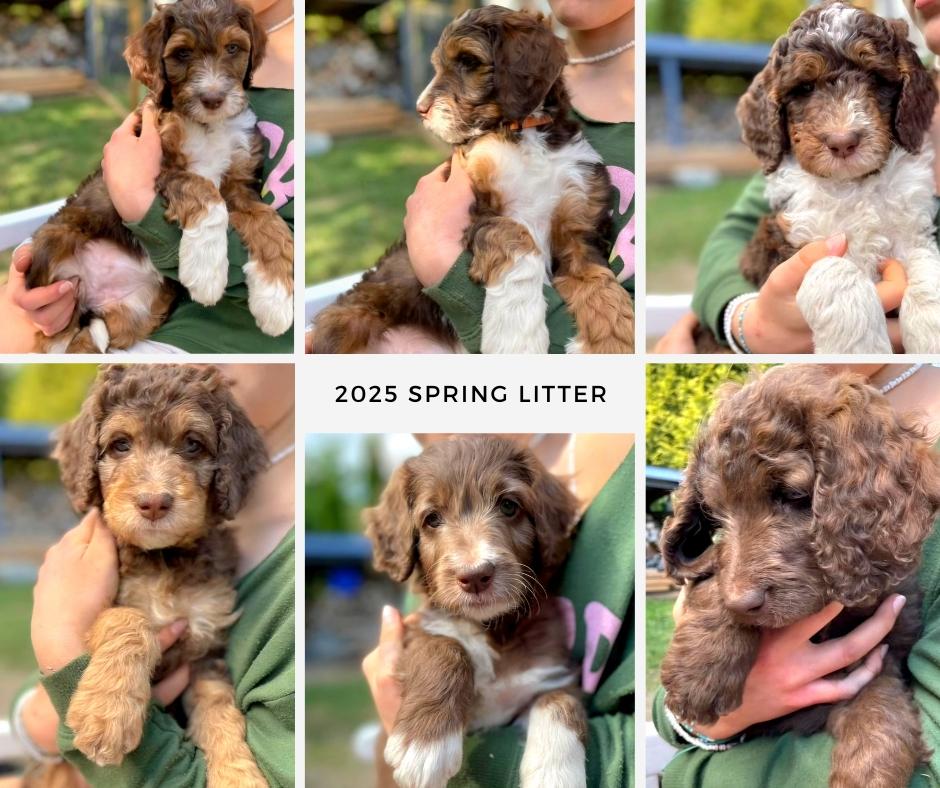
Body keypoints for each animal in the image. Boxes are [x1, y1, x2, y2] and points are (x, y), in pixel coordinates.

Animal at [27, 0, 292, 352]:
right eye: (182, 53)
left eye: (233, 48)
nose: (213, 99)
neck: (208, 125)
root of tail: (93, 296)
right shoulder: (160, 167)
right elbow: (204, 191)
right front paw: (207, 273)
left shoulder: (240, 183)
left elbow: (269, 221)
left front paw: (276, 300)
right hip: (49, 251)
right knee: (54, 335)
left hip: (139, 312)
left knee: (86, 340)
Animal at [32, 366, 268, 784]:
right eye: (121, 445)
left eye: (192, 445)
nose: (154, 502)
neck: (163, 558)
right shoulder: (104, 604)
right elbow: (129, 619)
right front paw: (107, 717)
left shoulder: (206, 643)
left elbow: (218, 707)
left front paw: (238, 775)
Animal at [312, 4, 636, 356]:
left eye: (468, 61)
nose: (420, 109)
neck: (524, 131)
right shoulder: (482, 203)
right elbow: (516, 236)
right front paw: (517, 338)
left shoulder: (578, 228)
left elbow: (600, 282)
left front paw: (614, 342)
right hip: (352, 317)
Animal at [368, 438, 588, 788]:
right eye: (432, 519)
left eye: (509, 506)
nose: (475, 575)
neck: (492, 628)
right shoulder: (418, 631)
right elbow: (444, 647)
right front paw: (425, 745)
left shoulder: (553, 673)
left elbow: (559, 701)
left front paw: (555, 775)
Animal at [656, 368, 940, 788]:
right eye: (718, 514)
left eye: (792, 495)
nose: (741, 605)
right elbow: (712, 574)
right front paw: (699, 672)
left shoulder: (887, 642)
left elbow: (880, 698)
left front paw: (868, 768)